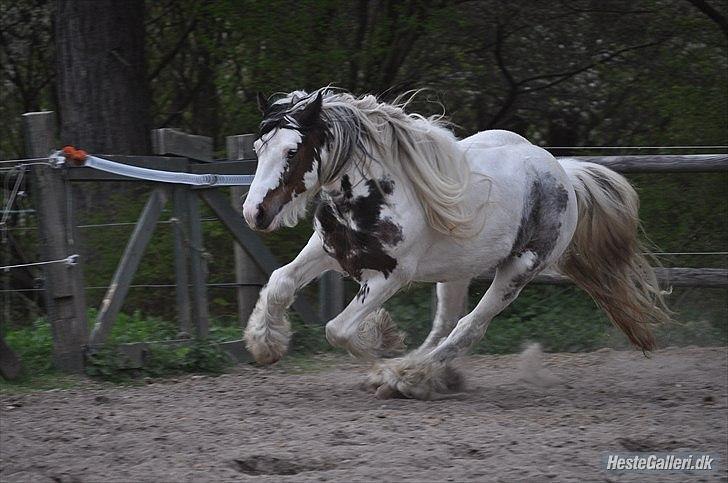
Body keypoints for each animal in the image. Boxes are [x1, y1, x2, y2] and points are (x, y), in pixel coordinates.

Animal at [240, 89, 672, 398]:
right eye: (259, 148)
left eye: (293, 150)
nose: (254, 213)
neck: (379, 191)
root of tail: (563, 172)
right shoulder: (328, 251)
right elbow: (280, 282)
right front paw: (265, 345)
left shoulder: (390, 276)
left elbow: (338, 330)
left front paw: (384, 352)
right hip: (455, 273)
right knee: (445, 324)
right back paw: (428, 374)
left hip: (519, 270)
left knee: (469, 327)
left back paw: (409, 377)